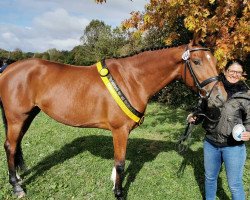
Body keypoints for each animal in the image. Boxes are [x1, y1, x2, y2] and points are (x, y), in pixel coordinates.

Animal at [0, 32, 227, 198]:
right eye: (196, 61)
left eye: (214, 61)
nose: (220, 96)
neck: (132, 79)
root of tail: (8, 68)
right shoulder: (120, 130)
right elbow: (120, 163)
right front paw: (118, 193)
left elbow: (117, 164)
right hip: (16, 118)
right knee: (10, 146)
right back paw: (17, 187)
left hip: (28, 116)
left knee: (16, 145)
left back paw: (18, 178)